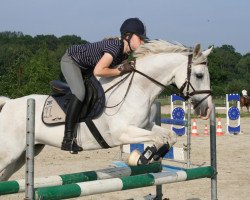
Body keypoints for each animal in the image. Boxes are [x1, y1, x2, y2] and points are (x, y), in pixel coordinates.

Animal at [0, 39, 213, 180]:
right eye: (199, 75)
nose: (207, 109)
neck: (138, 89)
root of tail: (8, 104)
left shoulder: (145, 125)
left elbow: (170, 136)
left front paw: (151, 156)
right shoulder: (122, 133)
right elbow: (159, 138)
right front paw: (143, 157)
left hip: (23, 155)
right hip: (9, 153)